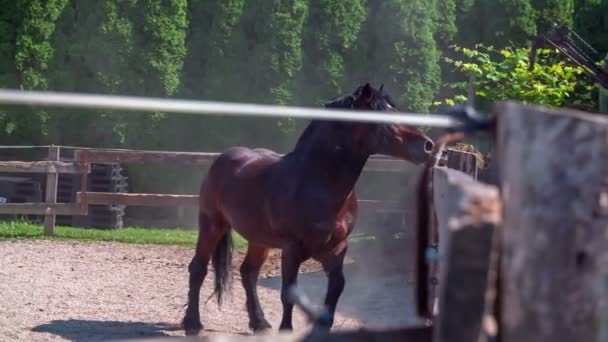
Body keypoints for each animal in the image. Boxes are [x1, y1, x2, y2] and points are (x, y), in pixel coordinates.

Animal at [183, 83, 434, 334]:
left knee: (248, 273)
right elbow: (288, 293)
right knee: (198, 269)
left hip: (259, 239)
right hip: (211, 224)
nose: (427, 146)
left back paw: (260, 323)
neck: (316, 182)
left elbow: (336, 288)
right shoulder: (292, 249)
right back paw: (193, 323)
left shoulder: (335, 248)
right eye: (383, 115)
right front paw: (286, 330)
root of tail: (223, 158)